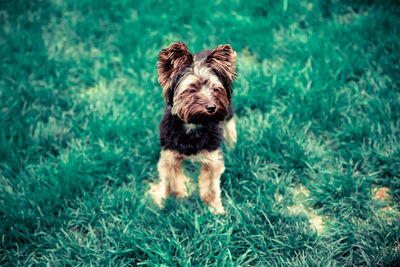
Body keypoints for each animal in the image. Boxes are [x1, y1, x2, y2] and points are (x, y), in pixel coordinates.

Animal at [149, 42, 238, 215]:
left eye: (216, 89)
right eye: (192, 89)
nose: (212, 107)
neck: (193, 124)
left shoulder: (212, 157)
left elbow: (210, 187)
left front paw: (215, 209)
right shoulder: (170, 154)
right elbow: (172, 181)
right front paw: (171, 202)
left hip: (229, 112)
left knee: (230, 126)